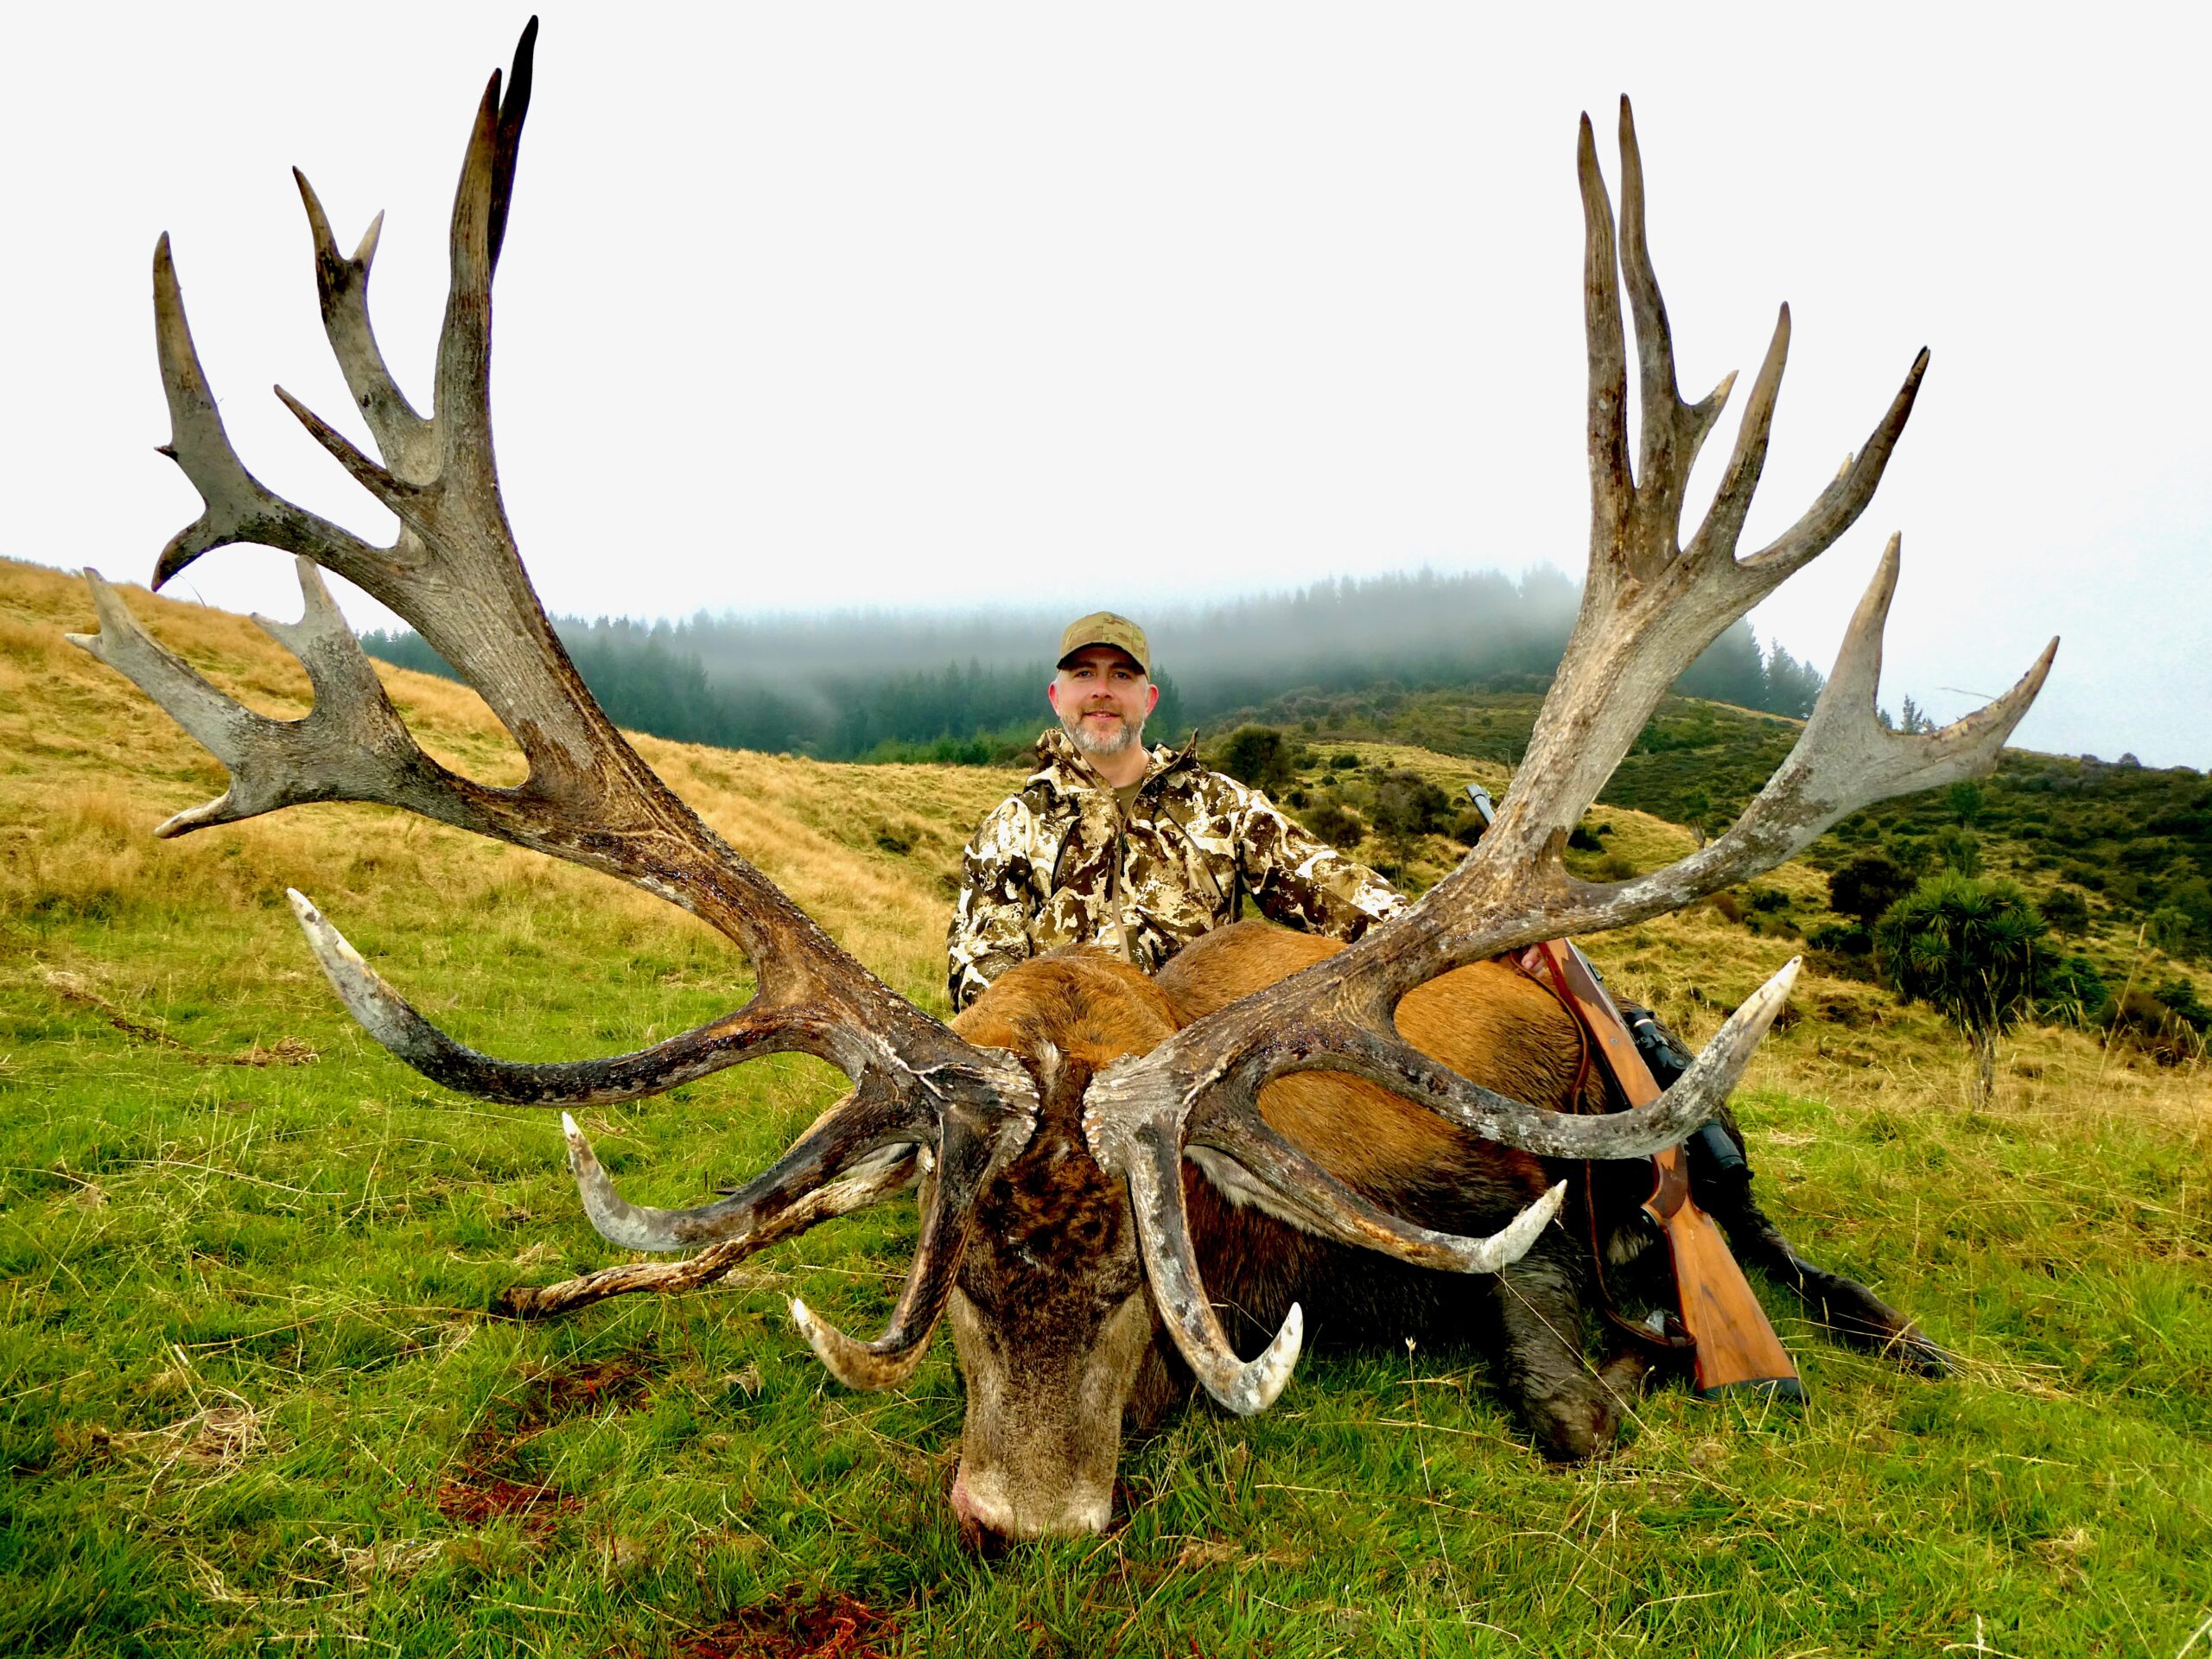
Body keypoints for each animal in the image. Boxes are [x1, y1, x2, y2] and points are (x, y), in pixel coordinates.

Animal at [71, 20, 2053, 1543]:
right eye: (949, 1287)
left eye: (1128, 1297)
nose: (1020, 1518)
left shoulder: (1482, 1202)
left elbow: (1575, 1393)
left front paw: (1638, 1356)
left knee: (1772, 1242)